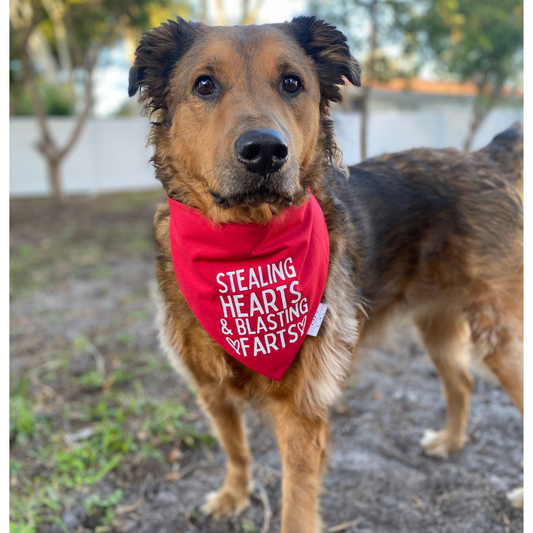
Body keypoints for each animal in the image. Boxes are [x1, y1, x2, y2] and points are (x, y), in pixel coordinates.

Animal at [130, 16, 524, 532]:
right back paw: (450, 442)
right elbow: (235, 450)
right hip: (436, 322)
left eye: (292, 82)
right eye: (204, 85)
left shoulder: (302, 409)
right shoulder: (209, 388)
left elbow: (296, 506)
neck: (246, 247)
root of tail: (482, 158)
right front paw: (234, 494)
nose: (264, 150)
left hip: (498, 332)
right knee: (461, 382)